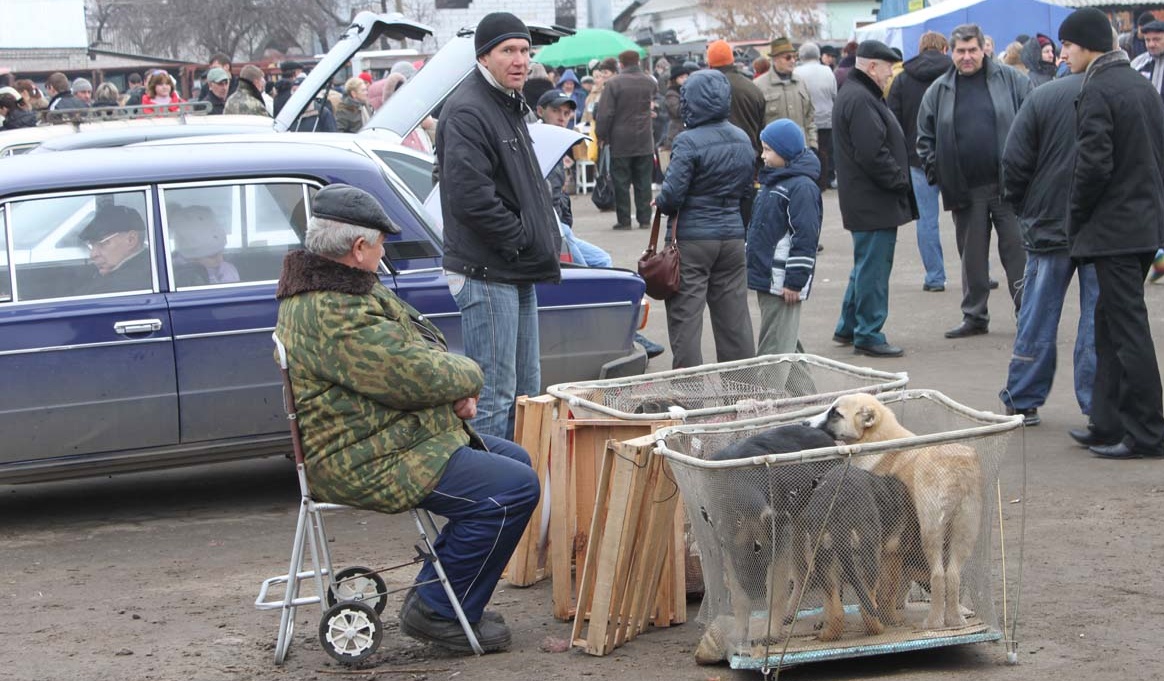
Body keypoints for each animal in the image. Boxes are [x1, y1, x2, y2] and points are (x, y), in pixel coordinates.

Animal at [810, 393, 982, 633]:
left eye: (836, 413)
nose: (805, 423)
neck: (878, 440)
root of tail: (956, 467)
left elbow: (885, 587)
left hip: (931, 529)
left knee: (938, 575)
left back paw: (934, 622)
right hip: (964, 531)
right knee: (953, 575)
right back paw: (956, 619)